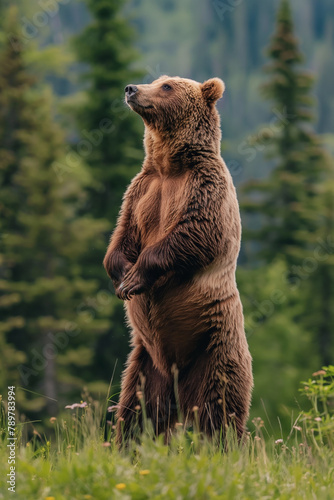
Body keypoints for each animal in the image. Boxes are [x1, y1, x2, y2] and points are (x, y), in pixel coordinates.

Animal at [103, 73, 252, 442]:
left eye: (167, 86)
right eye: (156, 80)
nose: (130, 89)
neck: (170, 167)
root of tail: (175, 371)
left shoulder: (205, 188)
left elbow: (193, 234)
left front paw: (135, 277)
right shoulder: (141, 190)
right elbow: (123, 234)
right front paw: (121, 274)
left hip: (212, 344)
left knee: (219, 406)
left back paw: (224, 443)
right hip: (144, 361)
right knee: (138, 409)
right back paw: (127, 443)